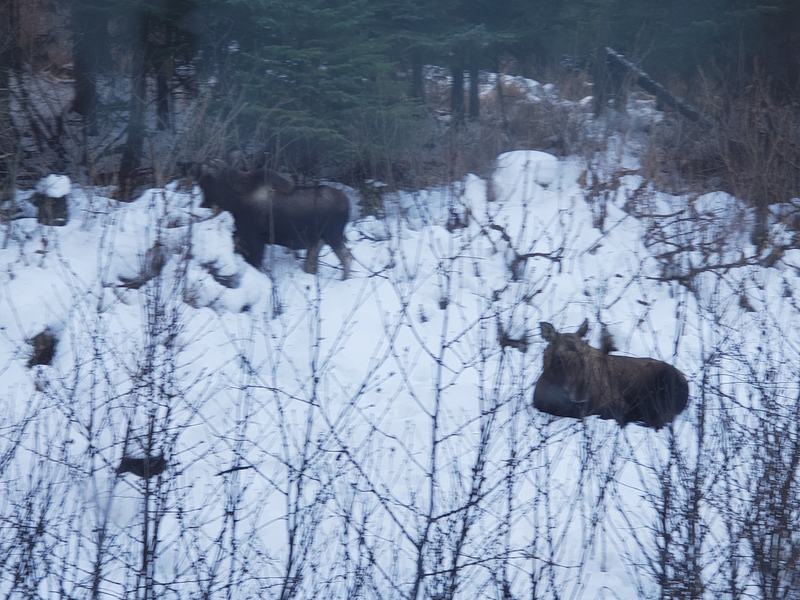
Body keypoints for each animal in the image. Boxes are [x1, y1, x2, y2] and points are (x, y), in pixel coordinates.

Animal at [196, 159, 352, 279]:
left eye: (207, 180)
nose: (202, 205)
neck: (233, 200)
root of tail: (347, 204)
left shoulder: (254, 239)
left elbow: (255, 262)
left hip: (333, 235)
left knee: (346, 256)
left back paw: (344, 279)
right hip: (320, 240)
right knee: (312, 262)